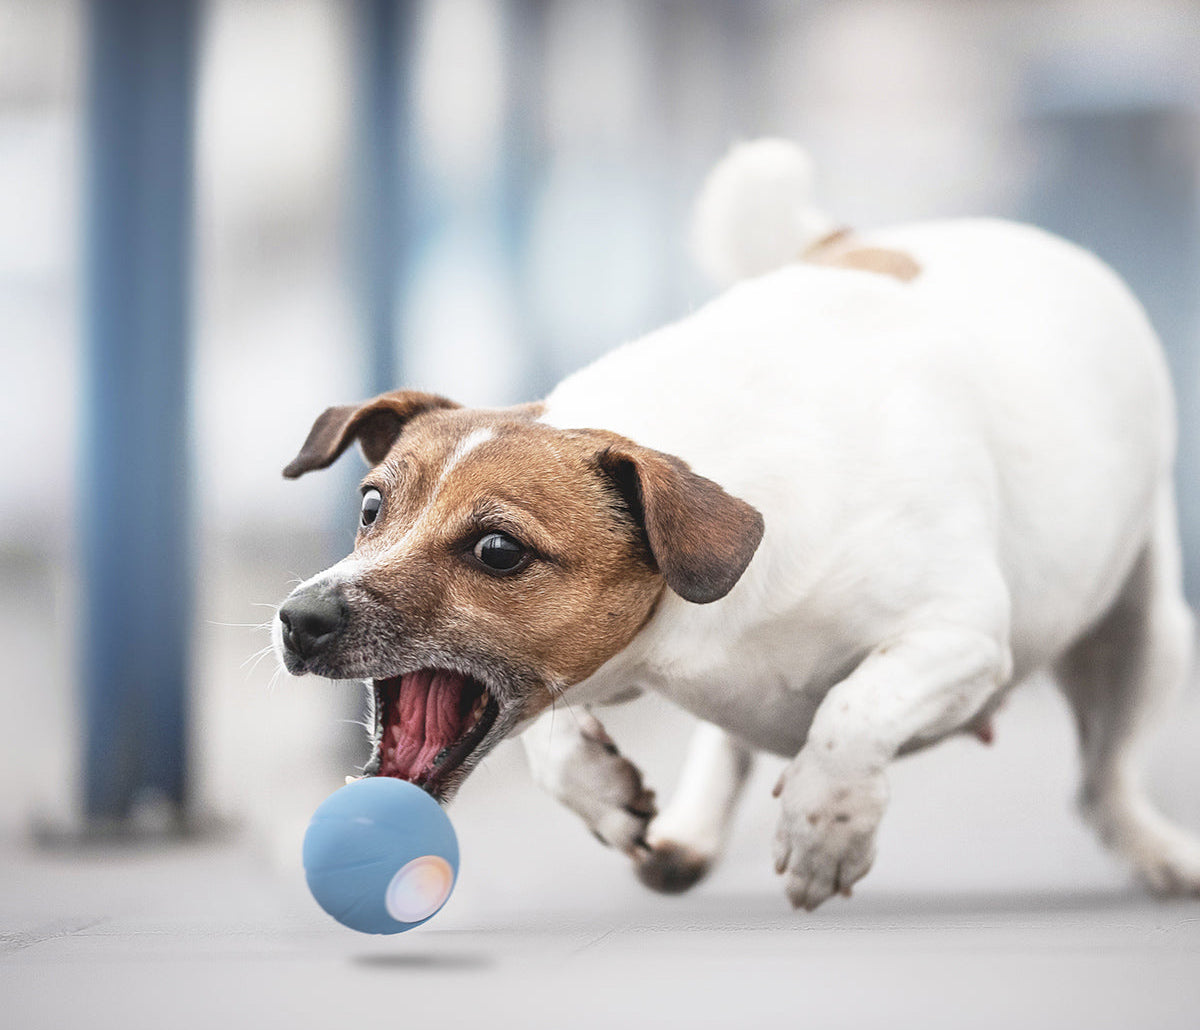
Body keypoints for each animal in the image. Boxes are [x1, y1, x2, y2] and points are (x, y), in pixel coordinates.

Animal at [274, 136, 1200, 907]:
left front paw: (827, 828)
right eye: (370, 507)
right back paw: (688, 833)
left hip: (1144, 638)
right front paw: (598, 787)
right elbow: (554, 729)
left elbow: (854, 711)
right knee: (733, 744)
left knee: (1103, 784)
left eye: (498, 550)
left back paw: (1161, 853)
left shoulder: (958, 635)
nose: (301, 617)